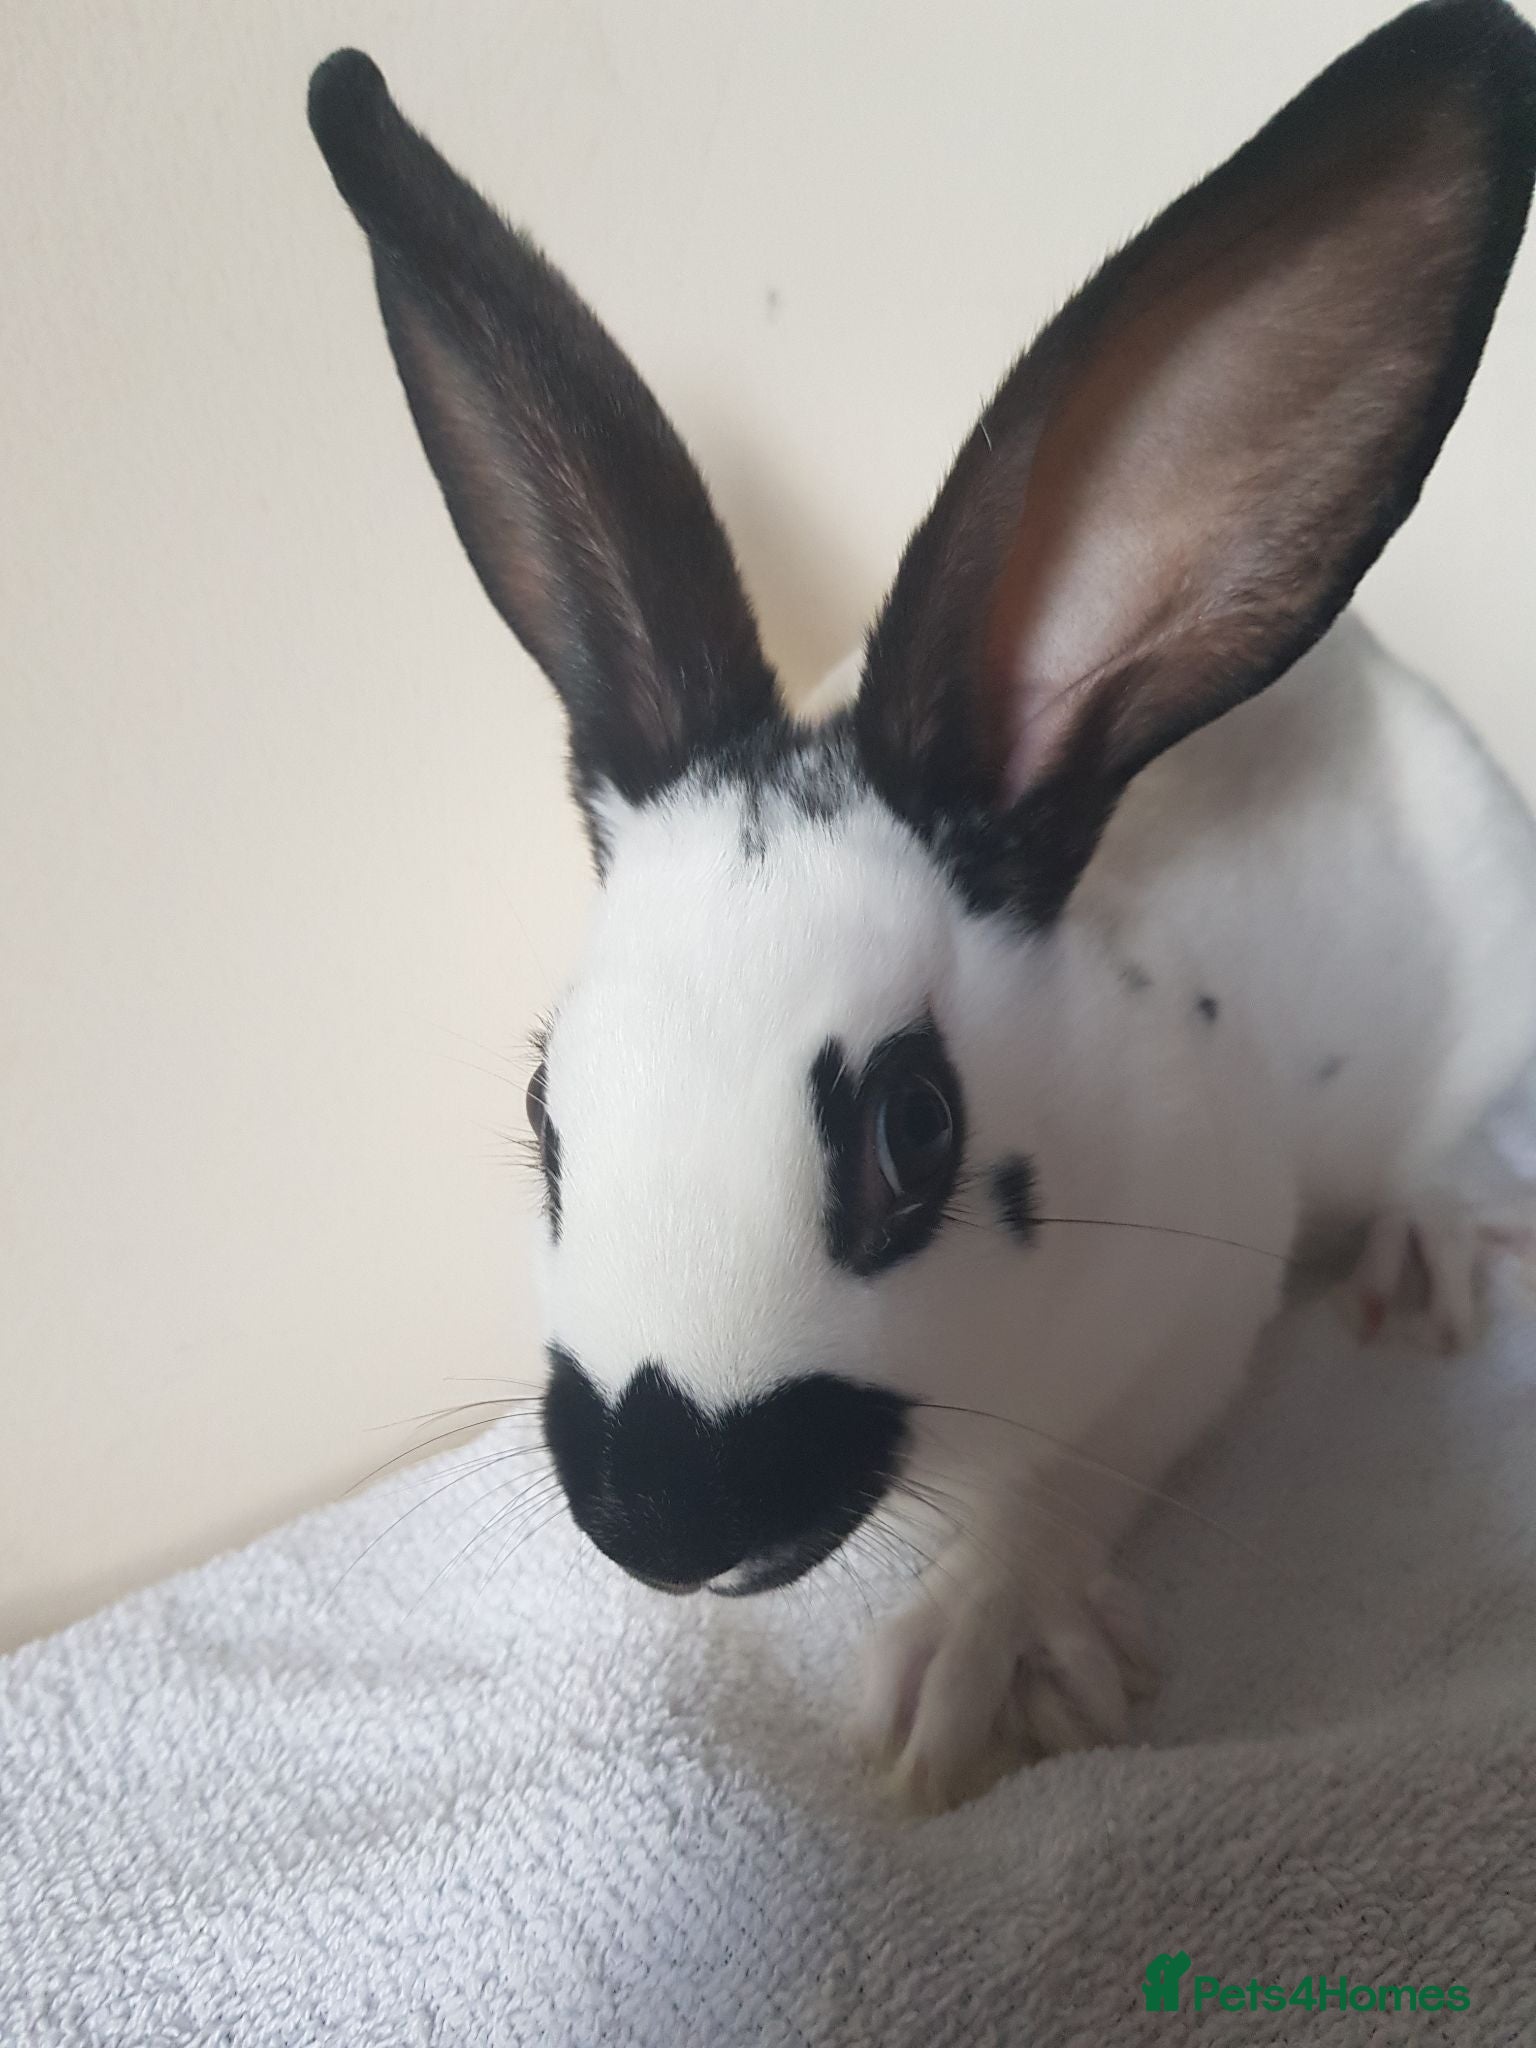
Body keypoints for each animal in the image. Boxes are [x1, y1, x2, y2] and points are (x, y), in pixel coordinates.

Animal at [308, 0, 1536, 1813]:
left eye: (913, 1127)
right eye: (545, 1104)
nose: (660, 1515)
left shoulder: (1207, 1265)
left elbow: (1084, 1471)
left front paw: (964, 1663)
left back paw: (1430, 1247)